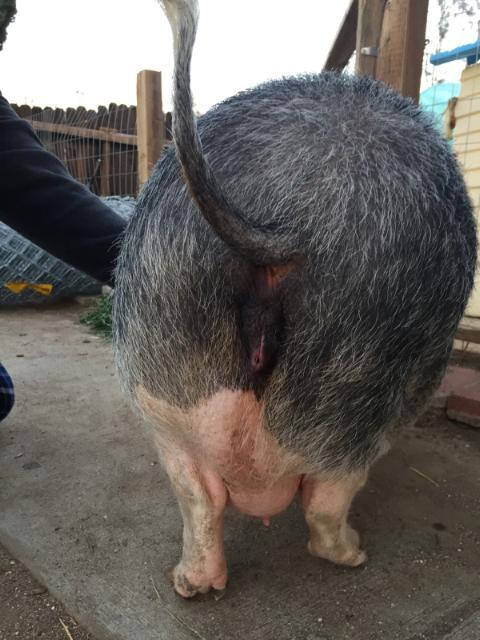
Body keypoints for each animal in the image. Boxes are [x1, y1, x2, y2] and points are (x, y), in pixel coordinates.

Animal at [113, 0, 477, 598]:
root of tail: (291, 222)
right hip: (355, 377)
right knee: (327, 501)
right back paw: (354, 554)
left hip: (161, 377)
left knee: (198, 499)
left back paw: (190, 584)